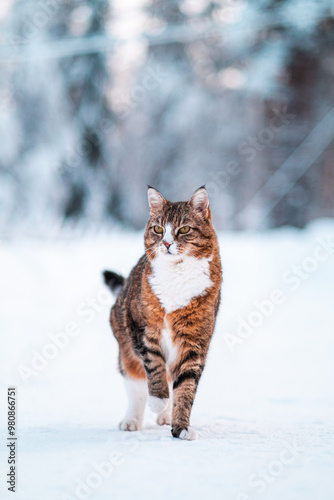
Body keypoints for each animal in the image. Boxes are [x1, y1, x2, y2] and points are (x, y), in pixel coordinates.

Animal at [103, 186, 223, 440]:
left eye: (184, 229)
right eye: (158, 229)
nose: (167, 243)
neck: (177, 273)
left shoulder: (194, 342)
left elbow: (185, 388)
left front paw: (181, 427)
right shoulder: (141, 329)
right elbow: (154, 365)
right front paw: (158, 400)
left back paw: (166, 416)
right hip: (126, 352)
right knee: (136, 385)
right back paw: (132, 420)